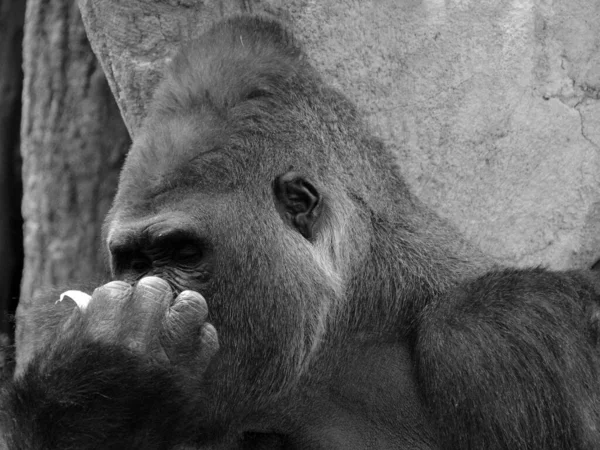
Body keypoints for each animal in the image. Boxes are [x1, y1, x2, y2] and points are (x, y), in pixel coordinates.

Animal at [1, 14, 600, 450]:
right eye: (135, 262)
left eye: (183, 252)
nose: (149, 294)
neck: (356, 318)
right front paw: (101, 388)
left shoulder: (502, 330)